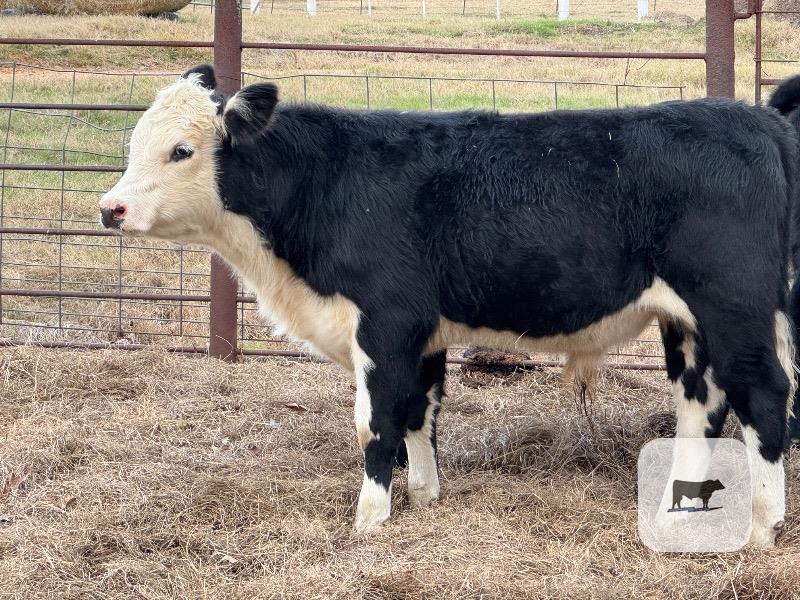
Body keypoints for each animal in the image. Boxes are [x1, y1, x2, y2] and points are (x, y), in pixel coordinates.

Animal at [99, 64, 799, 546]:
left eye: (181, 150)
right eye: (133, 142)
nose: (110, 208)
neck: (328, 185)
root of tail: (755, 120)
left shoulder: (385, 323)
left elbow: (375, 423)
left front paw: (369, 521)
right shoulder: (423, 336)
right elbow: (419, 413)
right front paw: (424, 497)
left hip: (734, 309)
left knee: (764, 397)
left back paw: (762, 526)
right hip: (690, 324)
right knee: (699, 407)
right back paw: (677, 510)